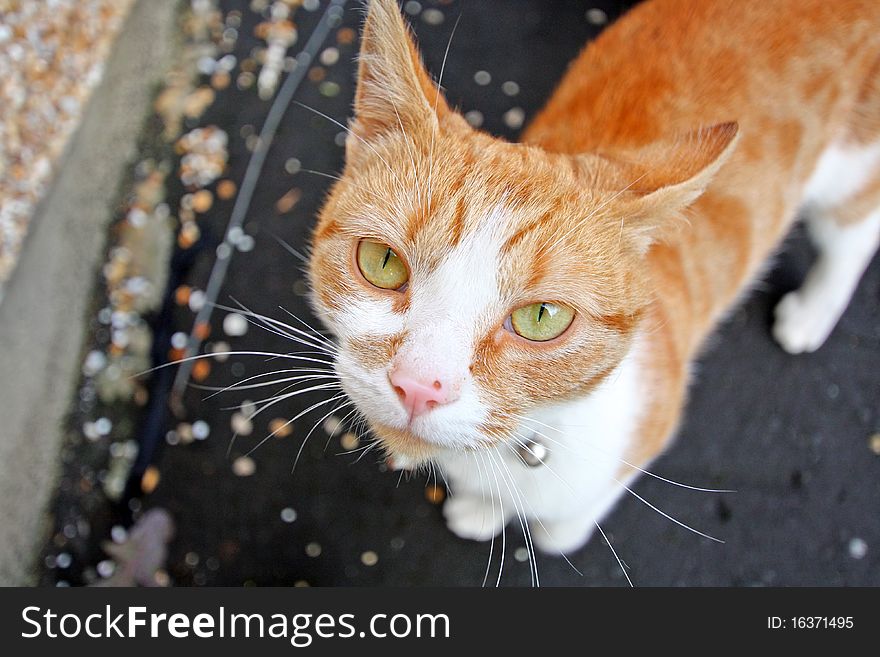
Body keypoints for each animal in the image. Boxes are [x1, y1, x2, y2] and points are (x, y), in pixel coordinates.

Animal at [308, 1, 880, 560]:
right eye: (383, 262)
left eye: (542, 318)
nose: (419, 386)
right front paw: (482, 508)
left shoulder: (646, 427)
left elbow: (571, 520)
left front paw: (548, 529)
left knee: (853, 233)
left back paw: (811, 312)